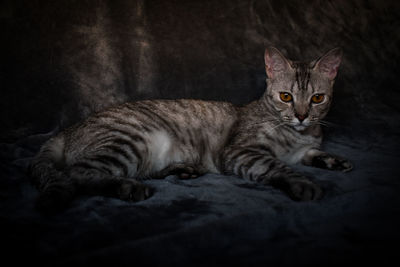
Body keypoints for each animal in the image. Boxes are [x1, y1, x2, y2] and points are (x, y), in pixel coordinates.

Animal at [28, 46, 354, 214]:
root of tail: (69, 130)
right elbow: (277, 166)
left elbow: (311, 153)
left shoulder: (305, 146)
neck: (297, 135)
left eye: (317, 99)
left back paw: (182, 170)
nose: (301, 116)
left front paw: (334, 160)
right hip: (130, 141)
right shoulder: (240, 151)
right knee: (78, 175)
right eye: (286, 96)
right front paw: (303, 183)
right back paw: (129, 188)